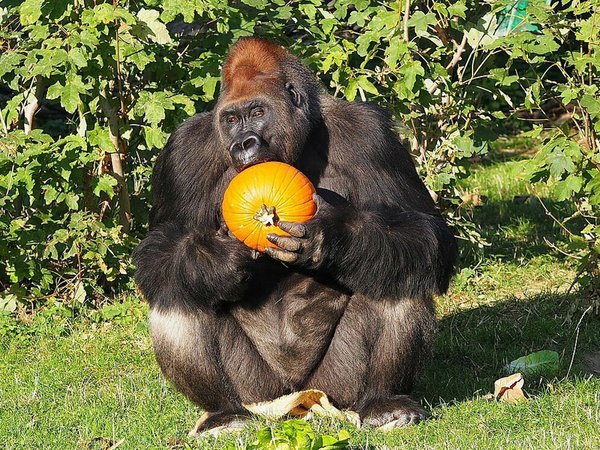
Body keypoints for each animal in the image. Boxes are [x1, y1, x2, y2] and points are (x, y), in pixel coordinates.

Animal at [134, 37, 458, 432]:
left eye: (258, 112)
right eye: (231, 120)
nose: (243, 144)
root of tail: (298, 402)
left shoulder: (370, 134)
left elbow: (426, 232)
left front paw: (331, 237)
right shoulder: (184, 151)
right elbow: (158, 251)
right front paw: (217, 259)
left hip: (337, 387)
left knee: (398, 271)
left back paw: (385, 401)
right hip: (258, 393)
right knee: (178, 293)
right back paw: (224, 412)